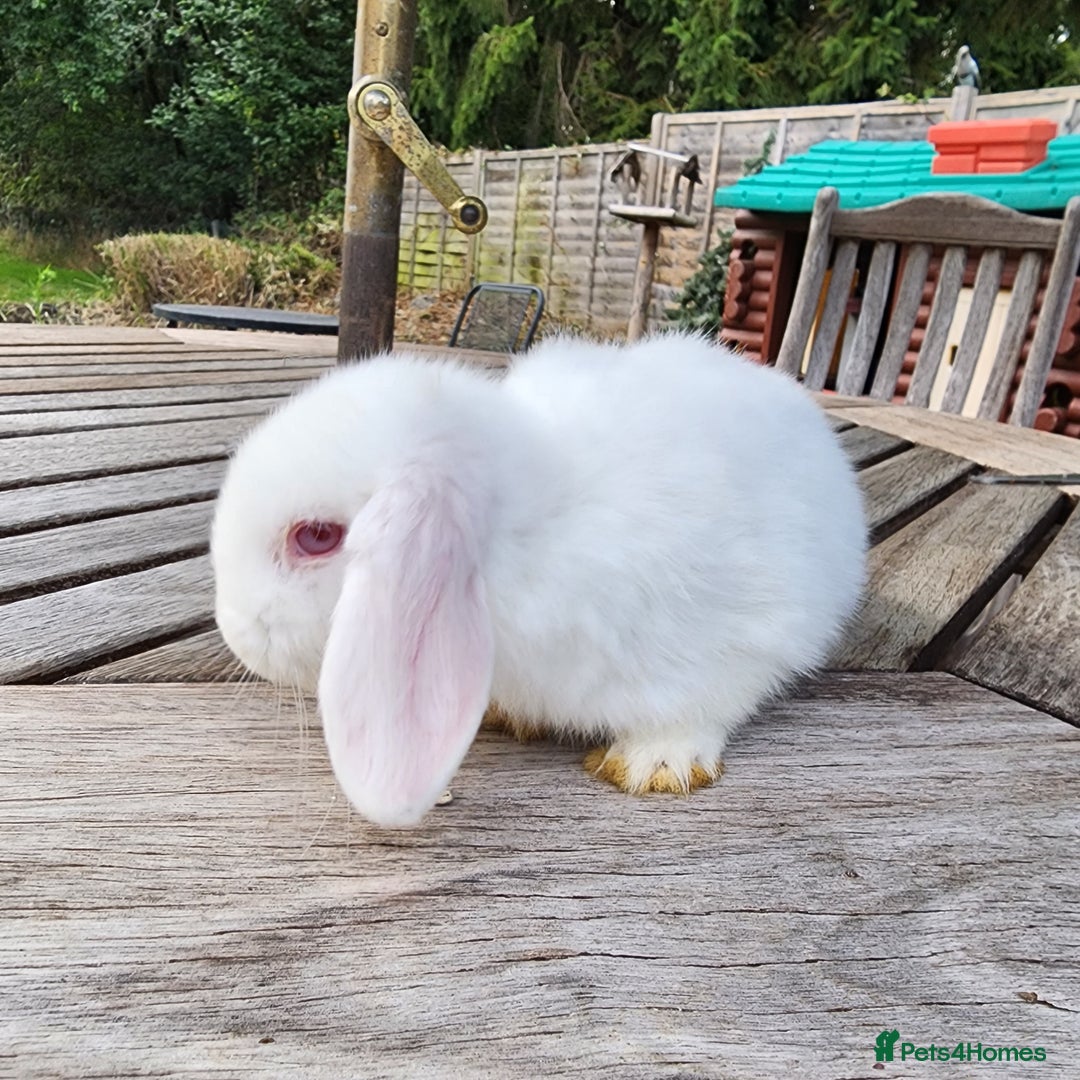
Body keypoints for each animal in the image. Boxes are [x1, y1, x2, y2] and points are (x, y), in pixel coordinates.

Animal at [211, 331, 867, 828]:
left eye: (316, 536)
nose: (234, 631)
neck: (529, 538)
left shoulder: (744, 637)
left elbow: (706, 701)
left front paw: (655, 765)